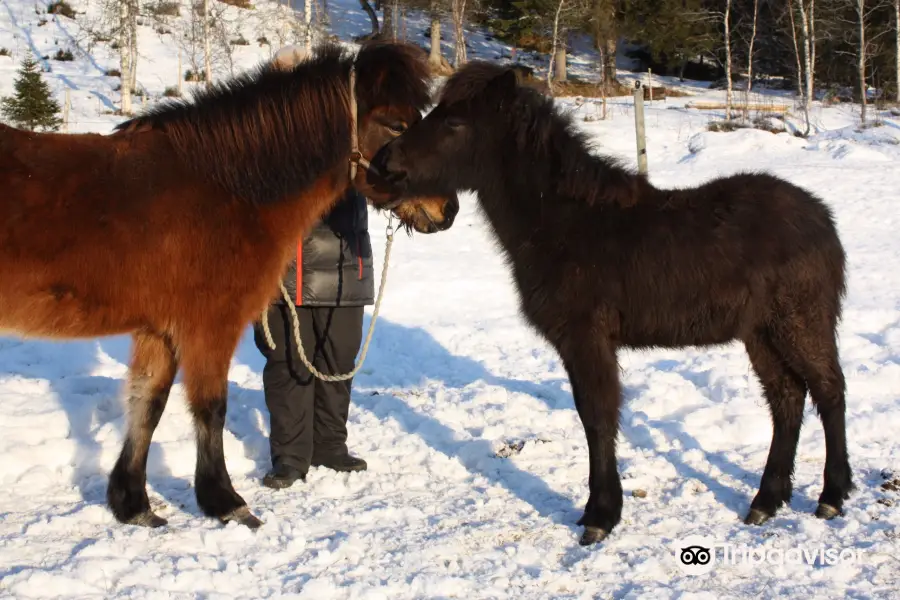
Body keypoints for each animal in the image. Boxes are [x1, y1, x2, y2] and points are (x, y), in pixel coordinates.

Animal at [0, 41, 454, 528]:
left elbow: (147, 403)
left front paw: (134, 504)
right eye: (397, 124)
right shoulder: (210, 326)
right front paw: (226, 501)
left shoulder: (159, 331)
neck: (225, 188)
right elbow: (211, 408)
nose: (448, 209)